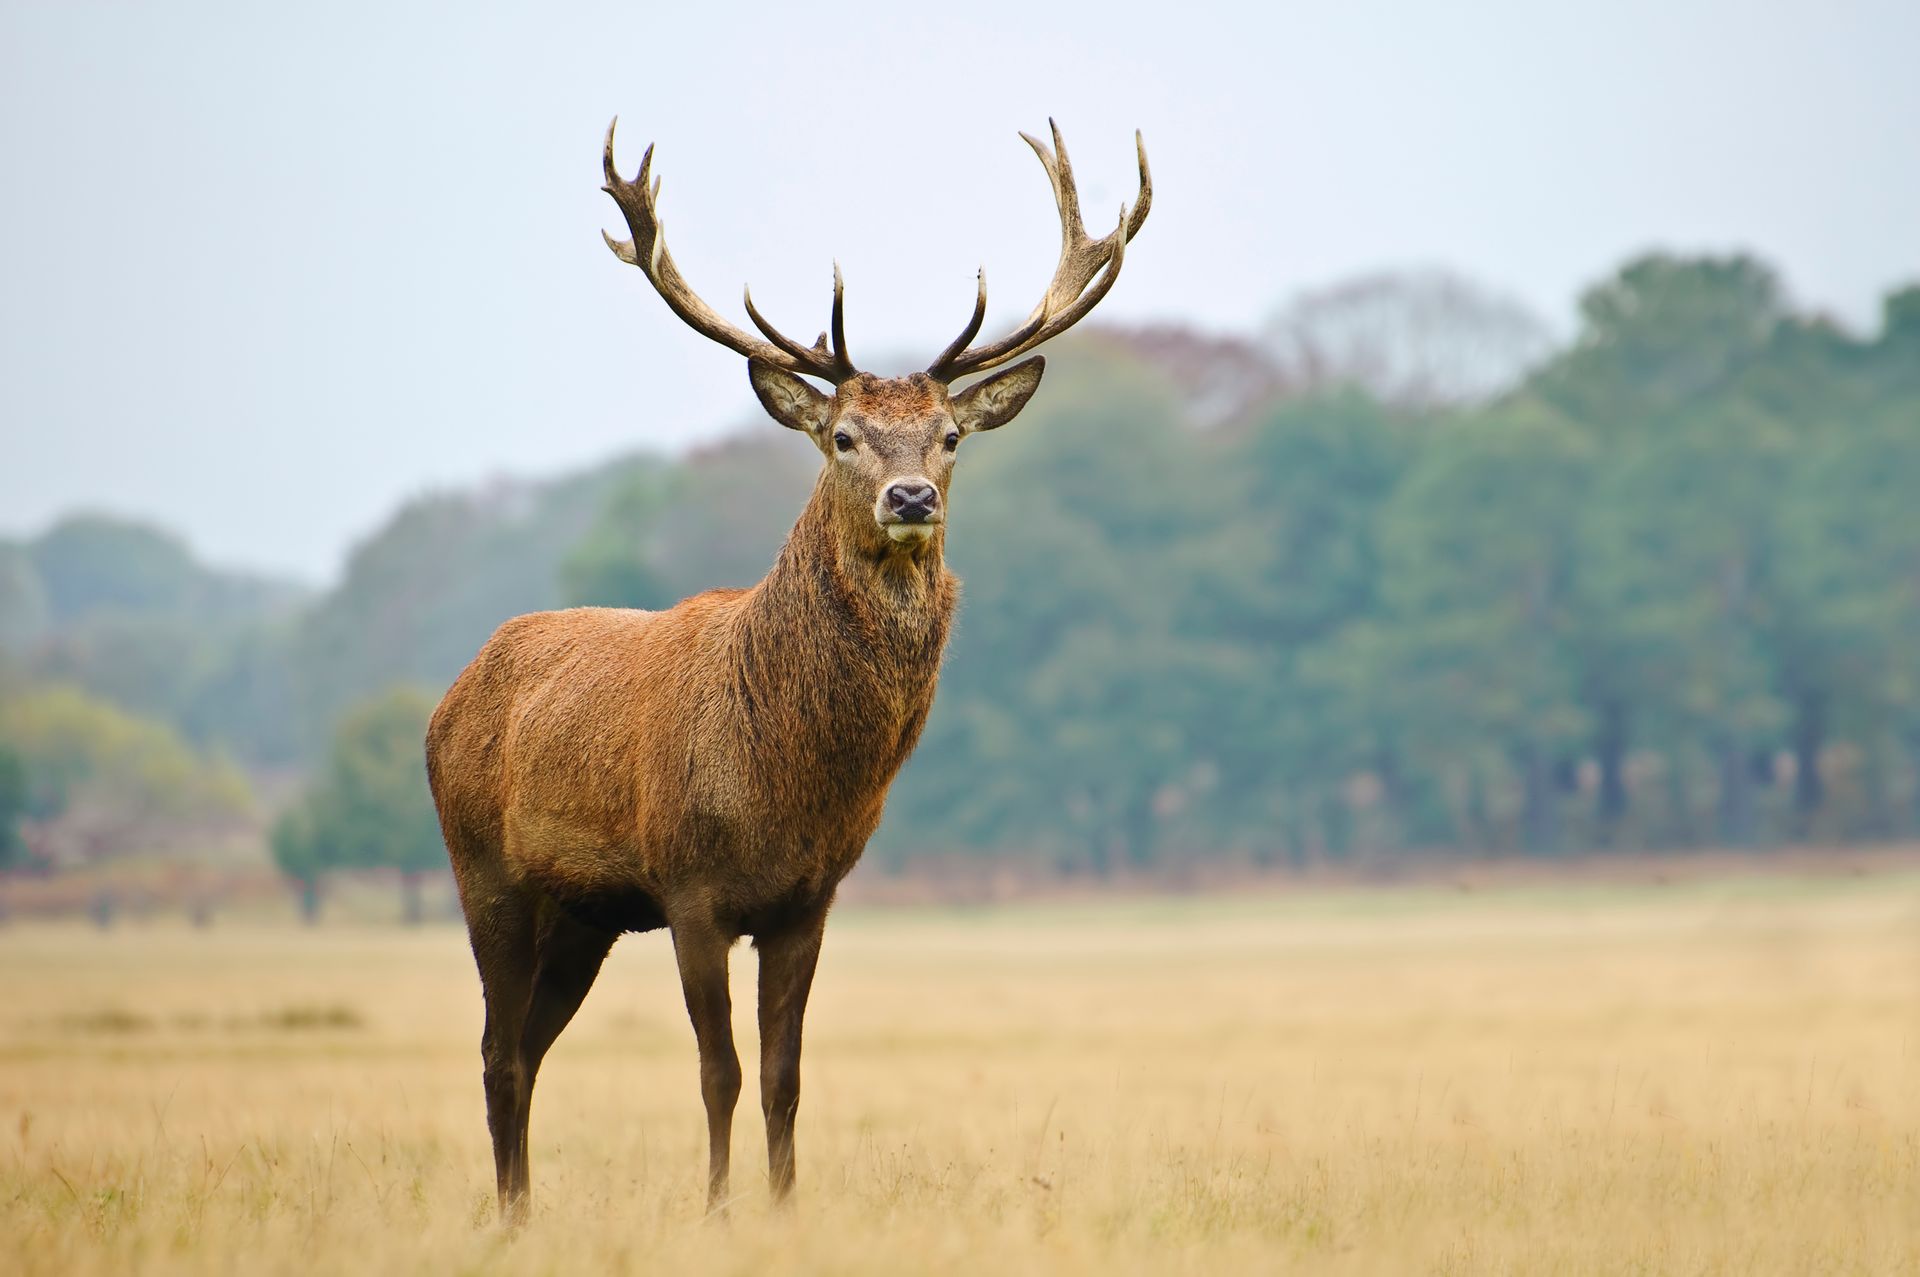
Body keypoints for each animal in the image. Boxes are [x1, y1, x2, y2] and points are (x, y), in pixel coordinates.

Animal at [424, 117, 1150, 1225]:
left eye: (948, 436)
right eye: (843, 434)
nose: (910, 497)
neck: (788, 778)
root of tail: (448, 696)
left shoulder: (808, 898)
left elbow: (784, 1073)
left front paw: (782, 1206)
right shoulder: (690, 886)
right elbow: (717, 1070)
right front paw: (719, 1210)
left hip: (584, 913)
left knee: (528, 1049)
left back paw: (521, 1209)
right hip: (485, 871)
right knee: (499, 1052)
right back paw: (511, 1218)